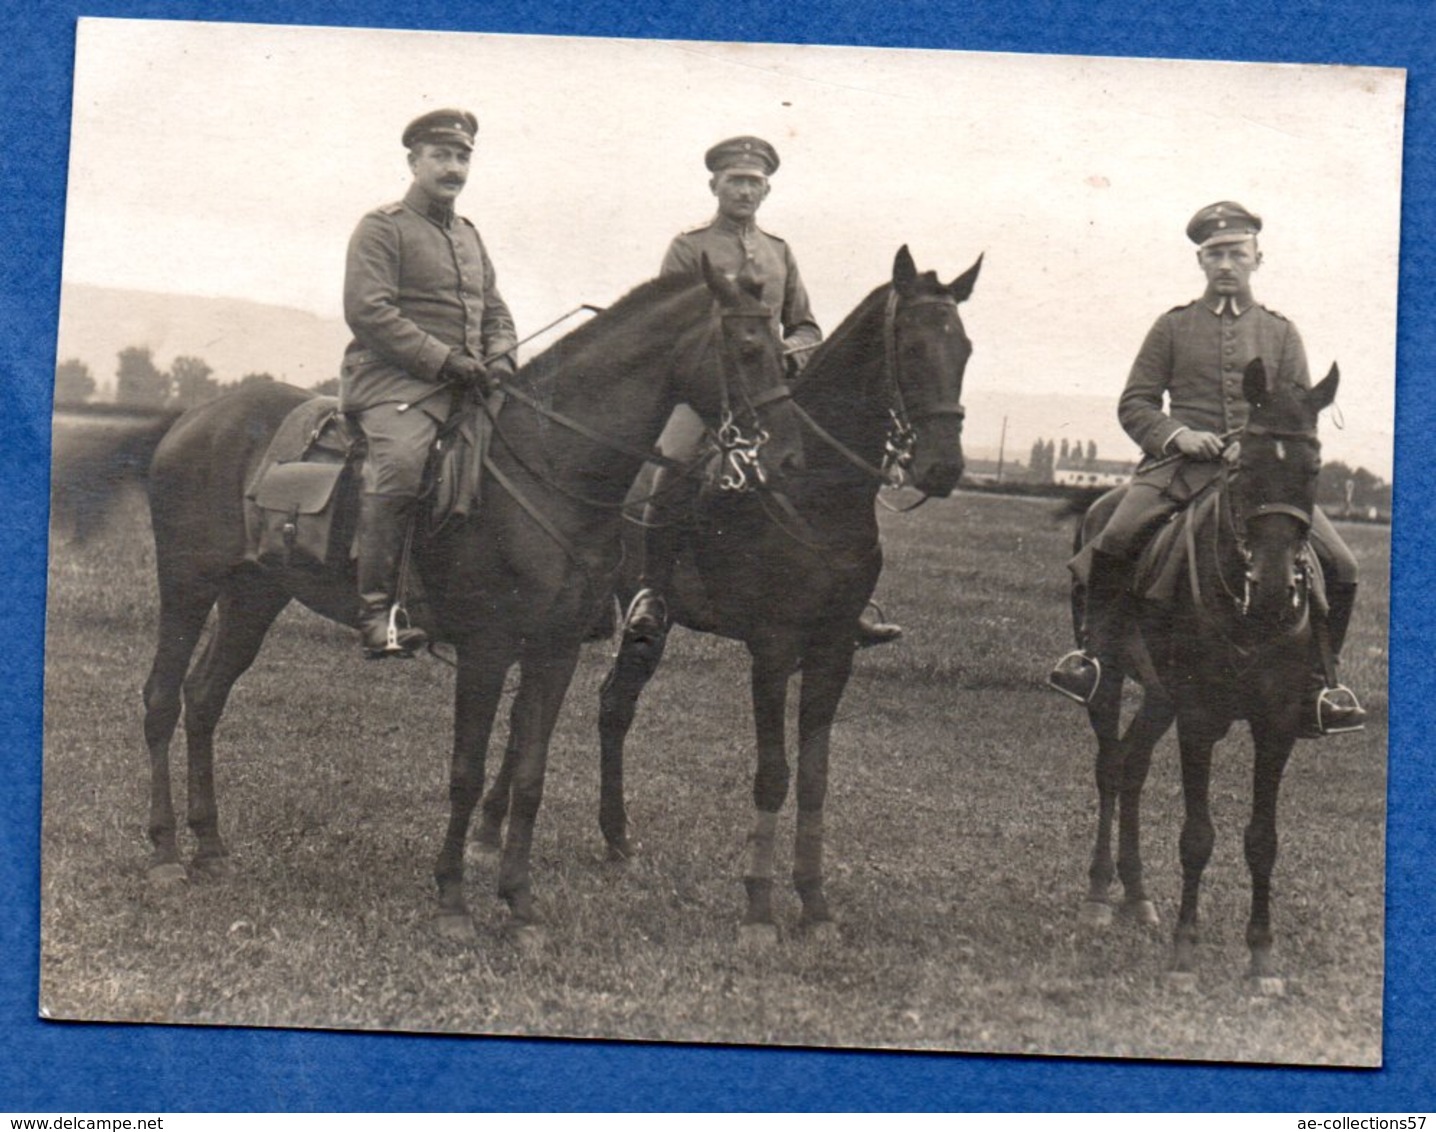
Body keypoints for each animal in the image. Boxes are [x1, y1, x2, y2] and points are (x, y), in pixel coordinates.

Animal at [140, 261, 804, 942]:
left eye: (785, 352)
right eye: (747, 349)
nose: (788, 458)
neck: (549, 465)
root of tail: (193, 419)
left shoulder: (555, 650)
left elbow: (530, 775)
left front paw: (520, 905)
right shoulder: (487, 649)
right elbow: (467, 771)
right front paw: (454, 901)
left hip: (254, 597)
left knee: (205, 697)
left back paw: (210, 847)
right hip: (188, 587)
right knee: (163, 698)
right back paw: (166, 853)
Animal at [485, 249, 976, 948]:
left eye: (965, 348)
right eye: (909, 346)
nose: (943, 469)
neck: (818, 492)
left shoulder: (833, 651)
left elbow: (816, 778)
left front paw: (815, 905)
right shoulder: (773, 648)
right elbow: (773, 774)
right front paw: (760, 910)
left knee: (612, 706)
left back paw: (616, 836)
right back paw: (489, 826)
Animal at [1079, 357, 1344, 988]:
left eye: (1314, 467)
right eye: (1241, 463)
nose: (1273, 587)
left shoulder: (1276, 725)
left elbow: (1262, 839)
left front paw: (1262, 956)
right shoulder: (1198, 719)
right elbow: (1197, 836)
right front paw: (1185, 953)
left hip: (1159, 696)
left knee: (1133, 767)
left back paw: (1138, 897)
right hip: (1112, 677)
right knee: (1110, 766)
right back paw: (1100, 896)